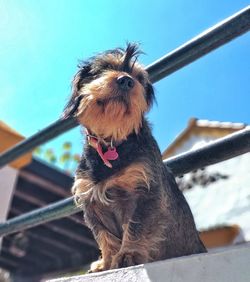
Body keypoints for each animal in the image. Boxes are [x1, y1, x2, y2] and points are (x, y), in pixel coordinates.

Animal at [64, 43, 205, 272]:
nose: (126, 80)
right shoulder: (92, 202)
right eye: (105, 67)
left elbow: (137, 226)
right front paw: (107, 262)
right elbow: (103, 235)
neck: (113, 143)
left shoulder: (146, 192)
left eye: (139, 78)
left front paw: (129, 254)